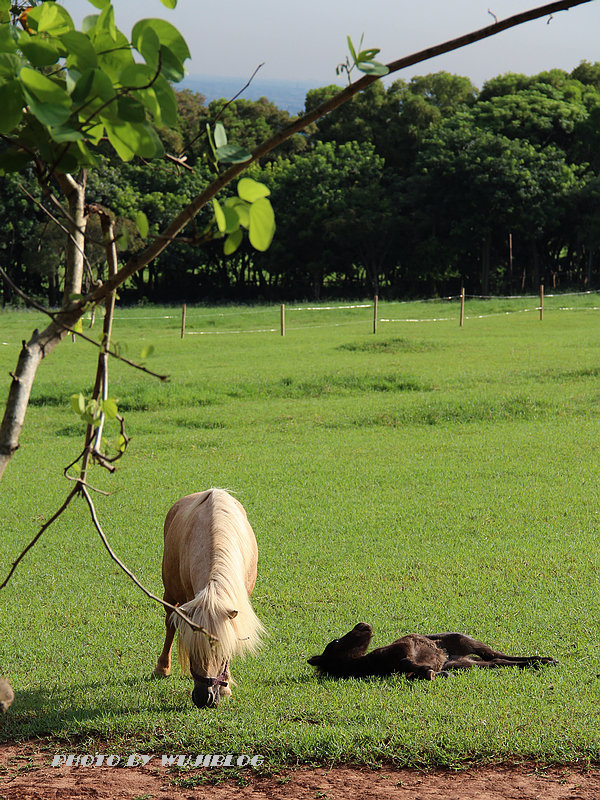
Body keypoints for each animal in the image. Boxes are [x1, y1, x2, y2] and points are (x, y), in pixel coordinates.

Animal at [152, 488, 262, 708]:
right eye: (192, 651)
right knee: (170, 625)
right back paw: (162, 667)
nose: (205, 698)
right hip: (170, 593)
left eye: (220, 650)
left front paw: (226, 686)